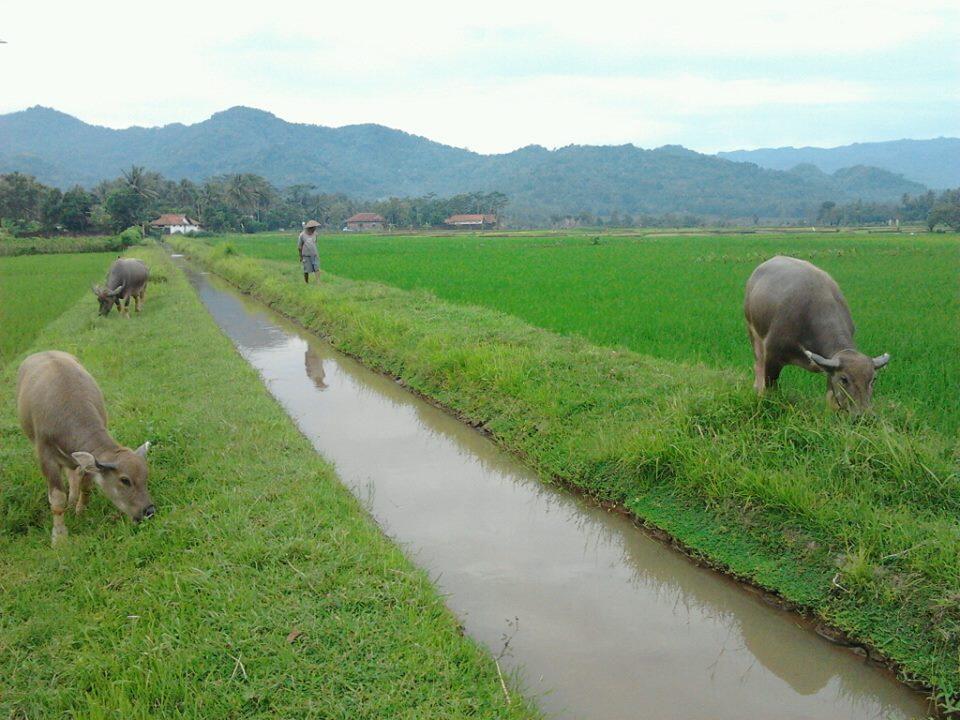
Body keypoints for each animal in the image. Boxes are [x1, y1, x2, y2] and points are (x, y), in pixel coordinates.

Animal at [17, 352, 154, 544]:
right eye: (125, 480)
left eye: (145, 476)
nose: (149, 511)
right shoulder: (46, 456)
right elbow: (57, 499)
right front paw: (59, 537)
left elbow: (86, 484)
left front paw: (80, 510)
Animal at [744, 258, 892, 416]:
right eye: (844, 379)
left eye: (873, 379)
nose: (864, 415)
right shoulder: (772, 356)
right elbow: (770, 388)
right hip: (753, 332)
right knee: (758, 364)